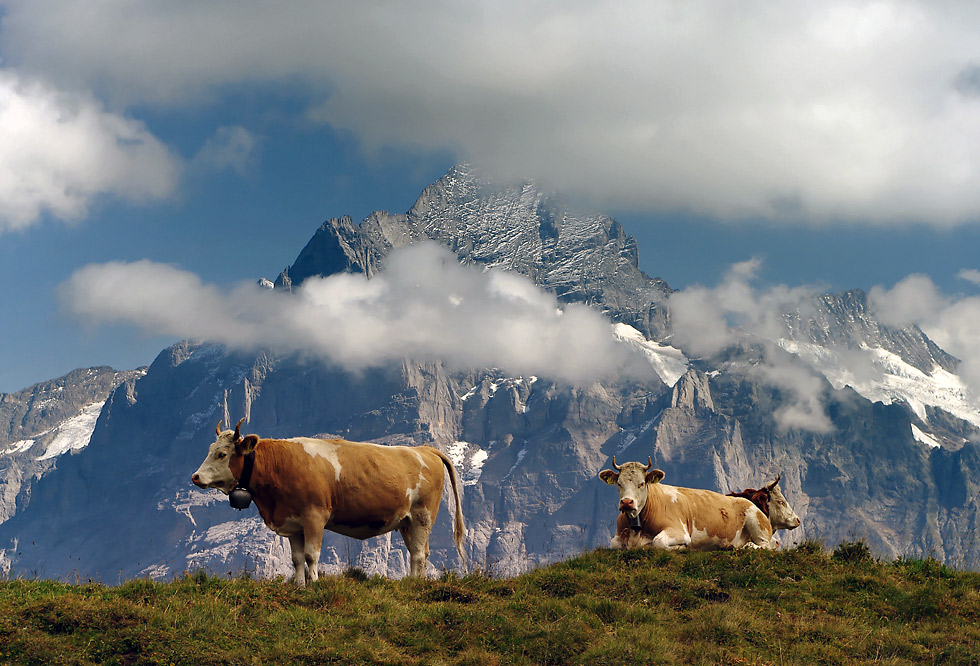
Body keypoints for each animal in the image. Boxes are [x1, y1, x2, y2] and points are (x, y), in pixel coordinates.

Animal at [194, 418, 468, 584]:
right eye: (209, 450)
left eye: (222, 454)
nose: (195, 477)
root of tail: (424, 449)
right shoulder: (292, 522)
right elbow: (296, 558)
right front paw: (299, 585)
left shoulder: (315, 516)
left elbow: (311, 555)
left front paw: (314, 584)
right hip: (407, 521)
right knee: (419, 552)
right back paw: (416, 581)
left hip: (423, 515)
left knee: (419, 555)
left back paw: (413, 584)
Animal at [596, 456, 772, 548]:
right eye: (619, 484)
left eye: (641, 483)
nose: (627, 502)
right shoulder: (617, 538)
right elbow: (614, 544)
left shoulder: (679, 530)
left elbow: (658, 541)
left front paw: (680, 547)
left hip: (757, 523)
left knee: (768, 545)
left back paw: (749, 546)